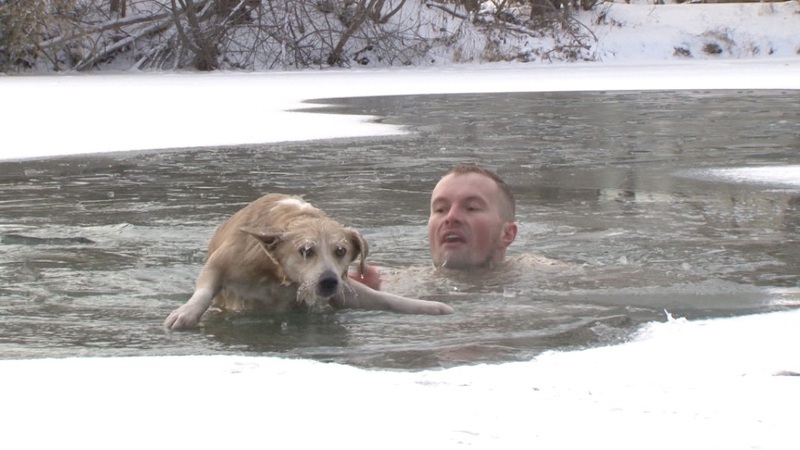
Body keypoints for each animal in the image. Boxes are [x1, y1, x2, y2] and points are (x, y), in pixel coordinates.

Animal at [164, 193, 454, 329]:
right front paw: (186, 313)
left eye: (341, 251)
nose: (328, 281)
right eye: (306, 250)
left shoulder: (343, 289)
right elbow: (206, 286)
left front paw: (431, 307)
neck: (275, 274)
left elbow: (383, 298)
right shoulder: (224, 261)